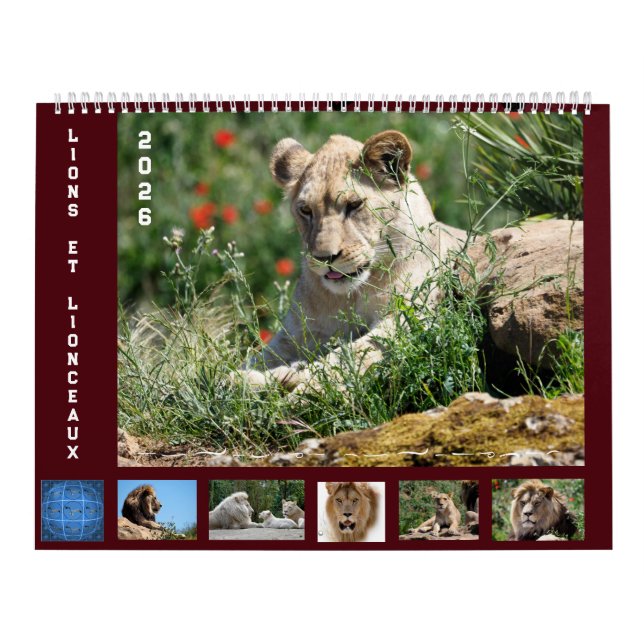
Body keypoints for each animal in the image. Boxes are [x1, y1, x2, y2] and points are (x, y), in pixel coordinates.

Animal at [244, 130, 465, 391]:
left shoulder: (409, 316)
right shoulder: (296, 333)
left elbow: (346, 357)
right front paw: (241, 378)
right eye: (305, 210)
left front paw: (300, 382)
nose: (324, 257)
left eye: (354, 205)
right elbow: (257, 359)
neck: (352, 296)